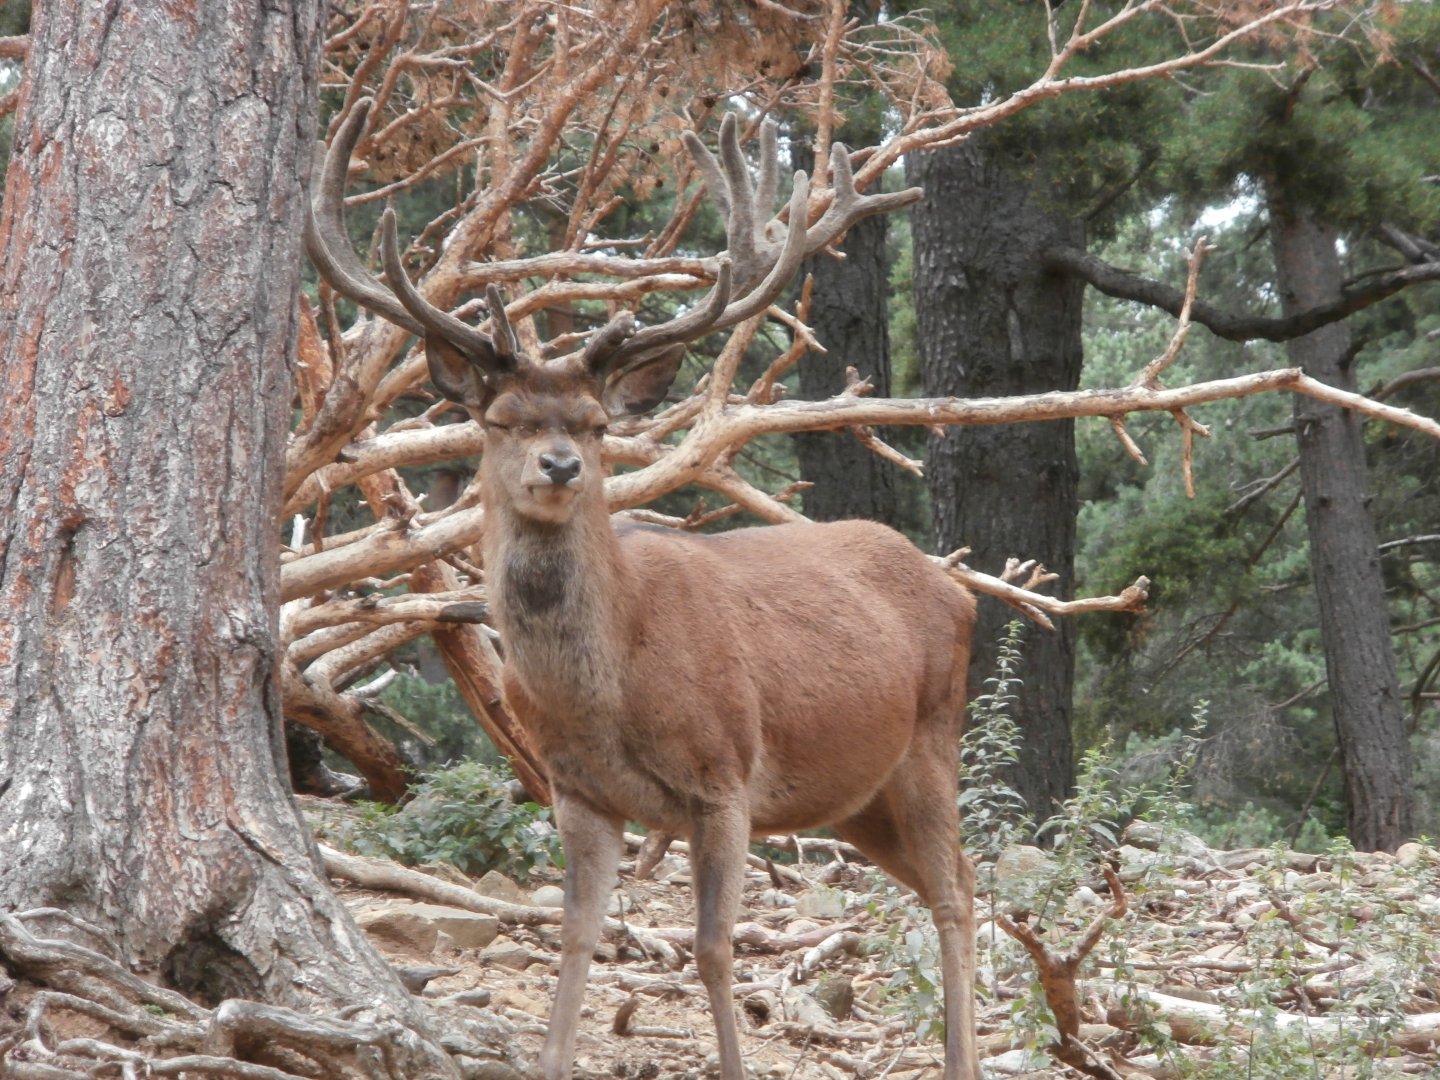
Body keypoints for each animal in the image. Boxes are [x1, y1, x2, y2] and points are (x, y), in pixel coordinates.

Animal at [307, 100, 981, 1080]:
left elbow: (713, 948)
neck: (610, 684)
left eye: (593, 422)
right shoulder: (575, 788)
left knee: (958, 891)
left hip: (930, 737)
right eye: (500, 420)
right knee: (949, 881)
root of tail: (960, 590)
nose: (560, 464)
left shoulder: (725, 774)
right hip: (858, 798)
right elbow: (576, 937)